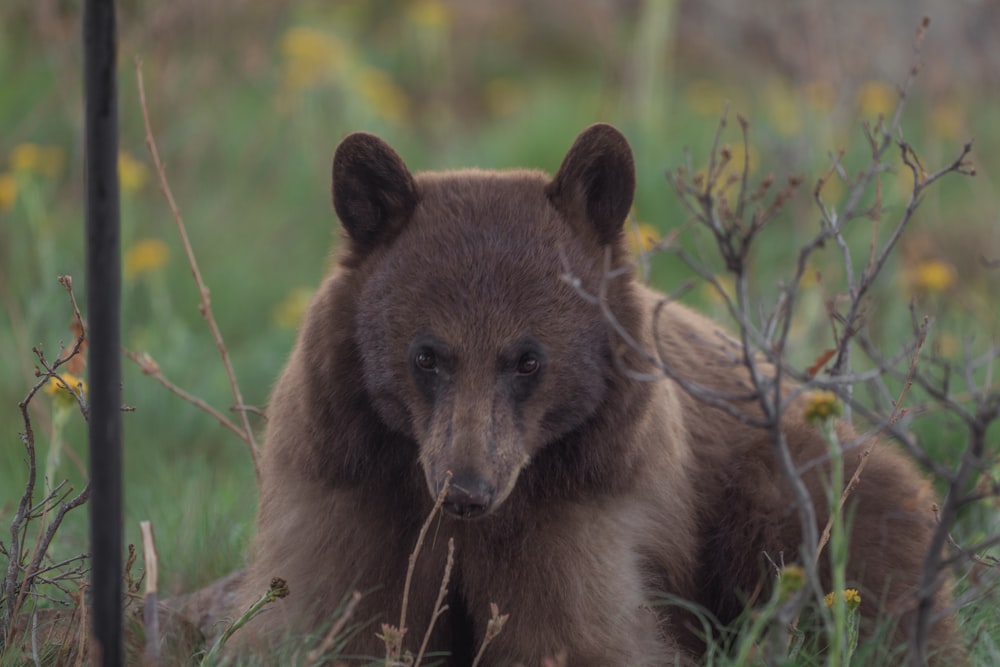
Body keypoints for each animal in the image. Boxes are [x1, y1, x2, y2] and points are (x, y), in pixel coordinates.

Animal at [236, 124, 960, 664]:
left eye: (528, 358)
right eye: (426, 354)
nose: (466, 488)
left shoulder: (581, 505)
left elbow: (580, 634)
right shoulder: (353, 488)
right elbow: (338, 619)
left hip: (798, 492)